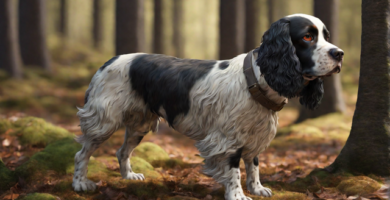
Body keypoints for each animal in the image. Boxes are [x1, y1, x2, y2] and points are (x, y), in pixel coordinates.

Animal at [71, 13, 342, 199]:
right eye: (307, 37)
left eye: (326, 36)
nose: (339, 54)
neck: (255, 79)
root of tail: (109, 60)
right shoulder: (227, 138)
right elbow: (234, 170)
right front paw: (238, 195)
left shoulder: (254, 134)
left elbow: (254, 164)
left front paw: (257, 188)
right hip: (103, 121)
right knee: (82, 153)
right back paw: (79, 183)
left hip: (139, 123)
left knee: (122, 151)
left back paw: (129, 176)